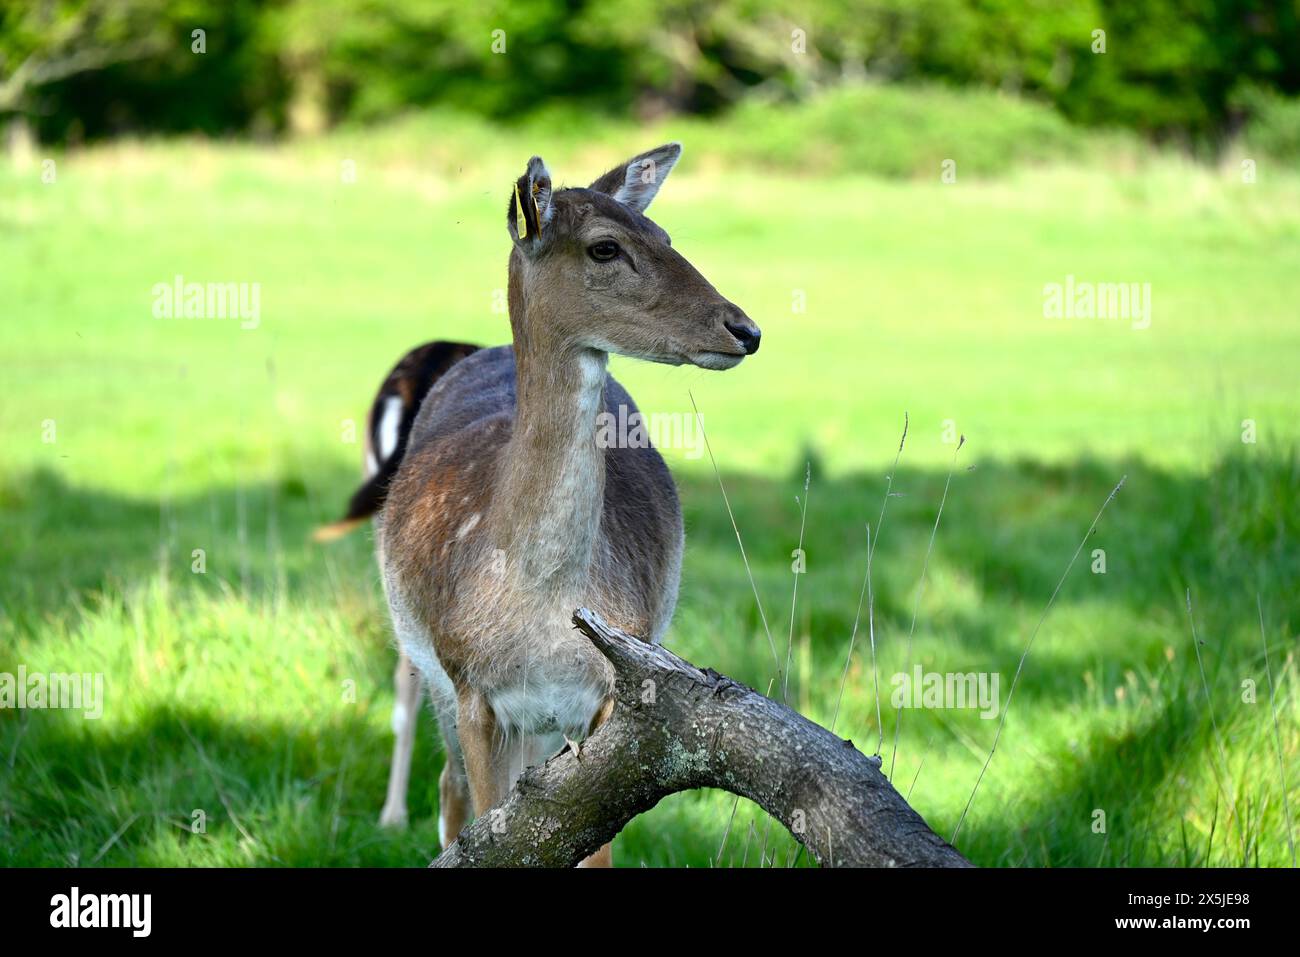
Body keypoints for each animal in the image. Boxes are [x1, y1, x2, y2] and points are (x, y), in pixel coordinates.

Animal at [319, 143, 760, 865]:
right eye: (605, 247)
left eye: (665, 235)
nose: (744, 328)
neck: (541, 611)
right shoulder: (470, 685)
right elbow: (486, 824)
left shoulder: (615, 692)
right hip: (436, 674)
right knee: (448, 787)